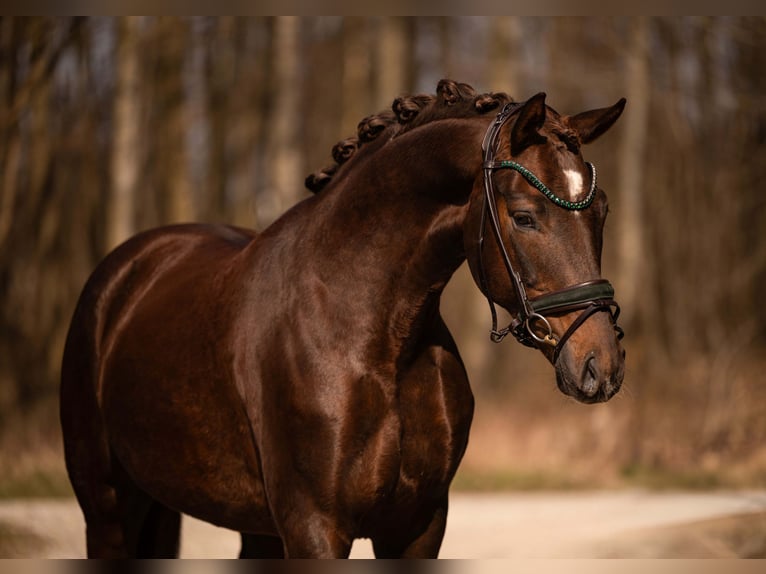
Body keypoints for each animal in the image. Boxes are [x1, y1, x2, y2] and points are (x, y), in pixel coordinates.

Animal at [60, 80, 626, 558]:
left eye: (601, 210)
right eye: (526, 216)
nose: (601, 366)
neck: (373, 337)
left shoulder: (418, 526)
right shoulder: (315, 528)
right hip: (107, 507)